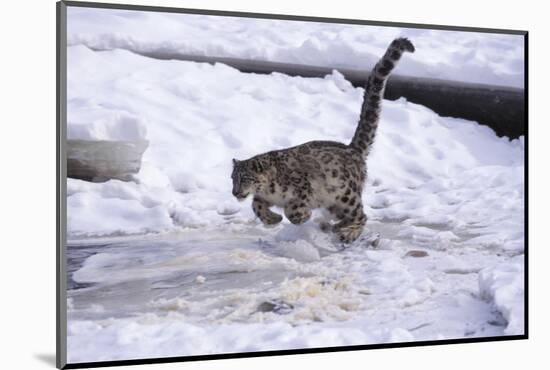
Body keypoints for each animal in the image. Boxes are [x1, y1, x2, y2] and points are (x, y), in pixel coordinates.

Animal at [231, 37, 416, 243]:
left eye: (245, 178)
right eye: (232, 178)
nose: (235, 192)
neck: (270, 191)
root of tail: (353, 149)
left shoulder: (302, 187)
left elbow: (292, 208)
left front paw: (301, 216)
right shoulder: (263, 198)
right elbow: (256, 205)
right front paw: (272, 219)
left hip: (346, 195)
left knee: (361, 214)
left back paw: (348, 233)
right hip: (336, 203)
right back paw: (333, 226)